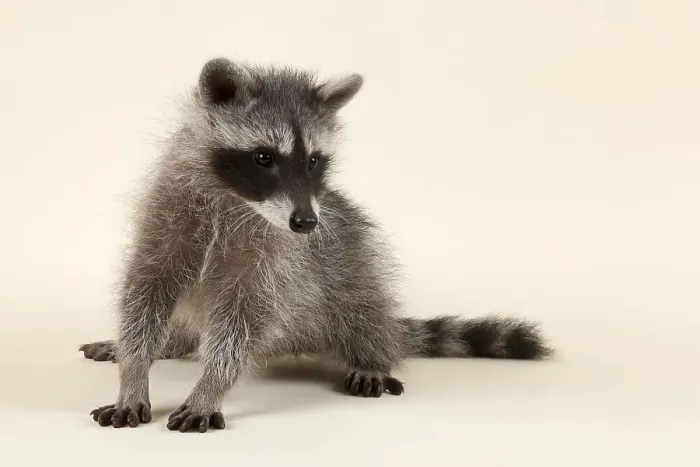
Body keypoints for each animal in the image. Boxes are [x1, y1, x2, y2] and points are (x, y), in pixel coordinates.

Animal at [80, 57, 554, 433]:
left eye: (313, 161)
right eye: (264, 158)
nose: (307, 222)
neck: (236, 201)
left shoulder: (277, 260)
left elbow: (242, 322)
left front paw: (210, 385)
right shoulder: (167, 218)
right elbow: (145, 294)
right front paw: (134, 370)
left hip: (354, 265)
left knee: (362, 310)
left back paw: (373, 356)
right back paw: (170, 342)